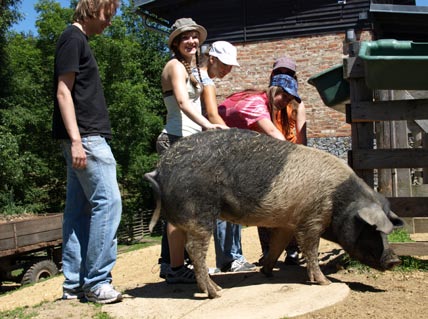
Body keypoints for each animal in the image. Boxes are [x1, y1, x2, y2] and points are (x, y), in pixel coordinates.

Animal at [145, 129, 402, 298]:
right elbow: (311, 249)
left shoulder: (288, 223)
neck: (339, 199)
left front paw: (267, 272)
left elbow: (277, 245)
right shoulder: (311, 219)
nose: (395, 260)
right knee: (194, 249)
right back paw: (216, 293)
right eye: (371, 228)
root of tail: (159, 169)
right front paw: (325, 282)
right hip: (199, 213)